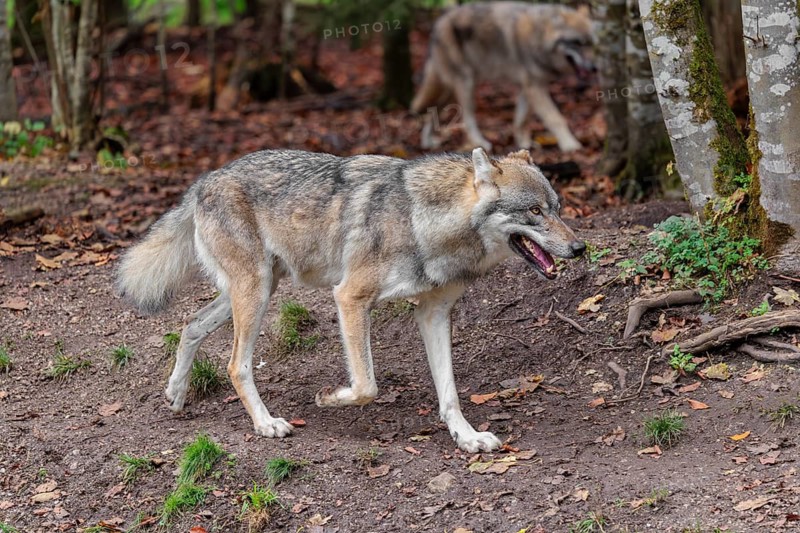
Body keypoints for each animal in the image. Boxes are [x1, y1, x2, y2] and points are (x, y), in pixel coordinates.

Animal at [117, 148, 585, 453]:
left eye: (558, 208)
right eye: (535, 212)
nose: (579, 248)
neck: (423, 222)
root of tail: (203, 180)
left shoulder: (433, 312)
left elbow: (450, 391)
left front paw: (466, 437)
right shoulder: (350, 298)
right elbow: (366, 385)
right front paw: (328, 399)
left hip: (257, 290)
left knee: (190, 325)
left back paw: (176, 394)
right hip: (256, 294)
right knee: (236, 364)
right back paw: (266, 424)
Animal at [411, 2, 595, 153]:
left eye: (591, 44)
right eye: (578, 43)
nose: (594, 68)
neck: (539, 37)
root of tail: (437, 24)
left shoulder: (527, 87)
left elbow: (521, 120)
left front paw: (524, 143)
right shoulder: (534, 87)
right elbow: (555, 118)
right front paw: (570, 145)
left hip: (450, 90)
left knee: (432, 111)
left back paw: (427, 142)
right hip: (467, 84)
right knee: (467, 118)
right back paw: (480, 142)